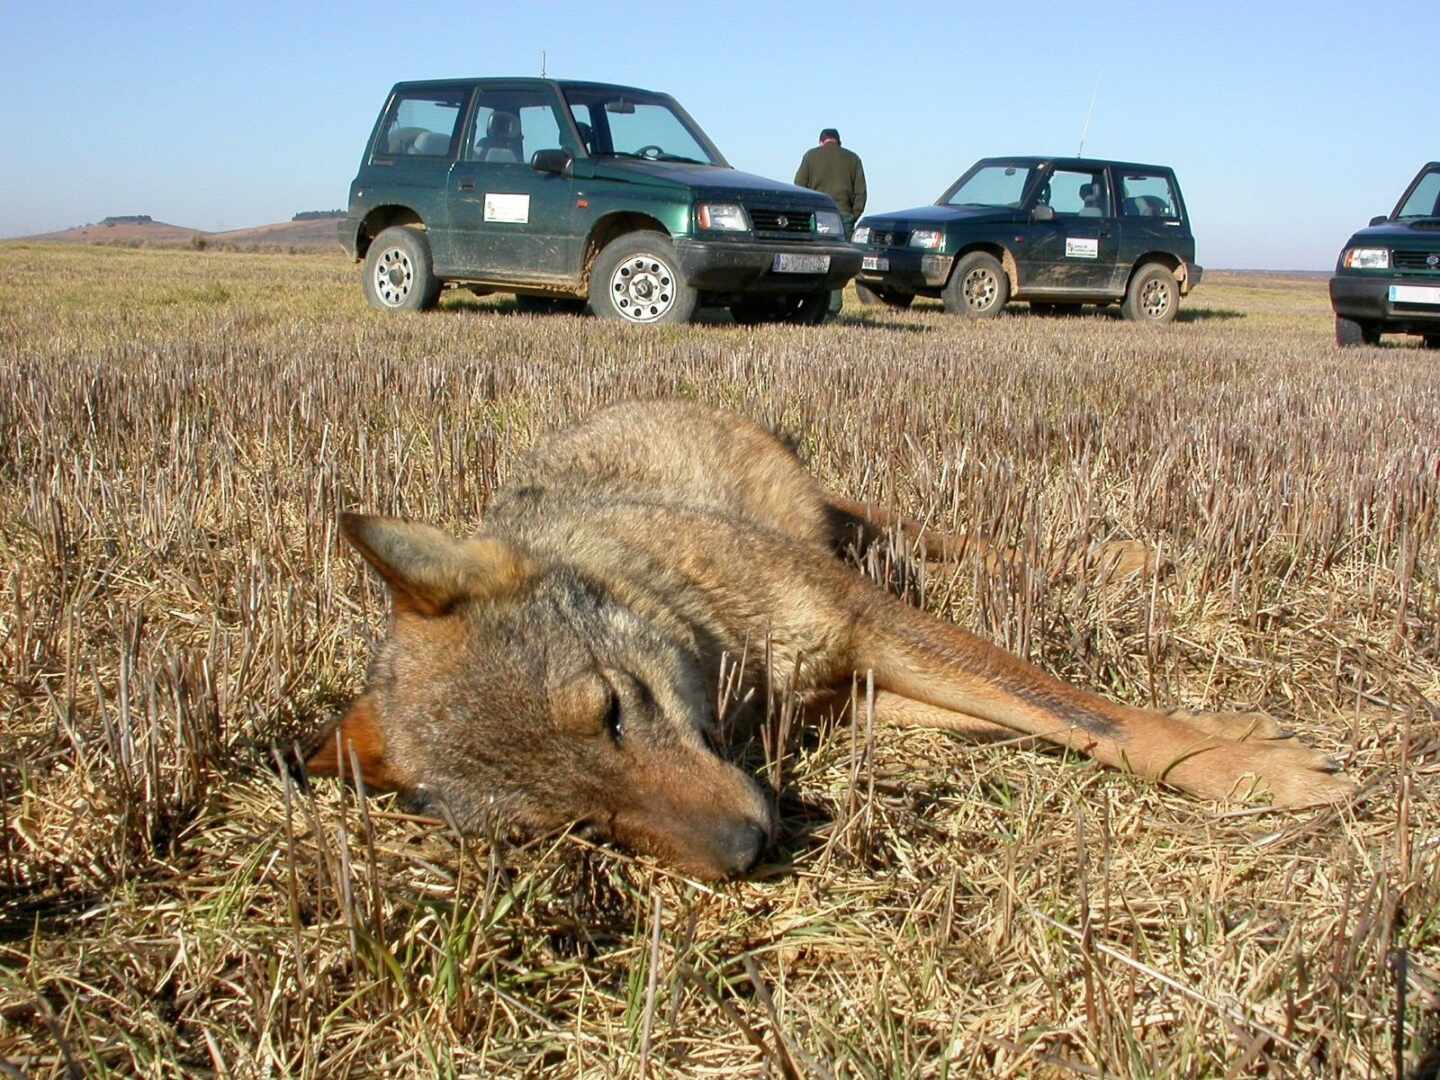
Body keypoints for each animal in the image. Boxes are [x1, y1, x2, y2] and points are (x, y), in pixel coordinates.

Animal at [303, 397, 1347, 881]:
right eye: (575, 826)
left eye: (610, 712)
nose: (748, 847)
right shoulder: (855, 696)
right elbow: (1052, 723)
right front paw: (1241, 744)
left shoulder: (867, 620)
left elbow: (1091, 712)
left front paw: (1249, 769)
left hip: (844, 528)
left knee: (951, 538)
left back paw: (1116, 556)